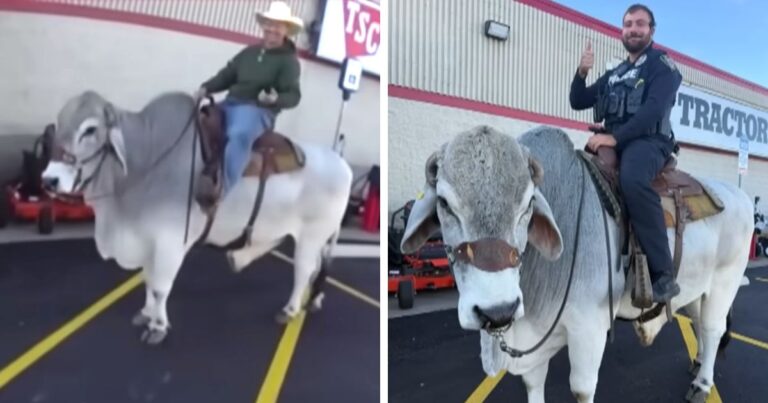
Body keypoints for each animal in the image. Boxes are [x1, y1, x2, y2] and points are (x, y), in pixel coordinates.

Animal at [51, 90, 353, 345]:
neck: (146, 162)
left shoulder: (170, 241)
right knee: (316, 268)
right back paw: (314, 299)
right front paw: (146, 313)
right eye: (58, 123)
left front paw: (158, 326)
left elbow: (160, 287)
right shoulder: (148, 240)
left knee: (303, 270)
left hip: (311, 236)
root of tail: (342, 164)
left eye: (90, 129)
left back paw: (290, 309)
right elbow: (149, 280)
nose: (49, 179)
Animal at [400, 125, 752, 403]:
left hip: (724, 283)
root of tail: (740, 194)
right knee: (701, 325)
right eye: (444, 203)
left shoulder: (590, 328)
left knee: (713, 328)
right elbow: (533, 383)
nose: (497, 310)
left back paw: (702, 384)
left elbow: (581, 389)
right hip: (696, 289)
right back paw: (698, 362)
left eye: (528, 203)